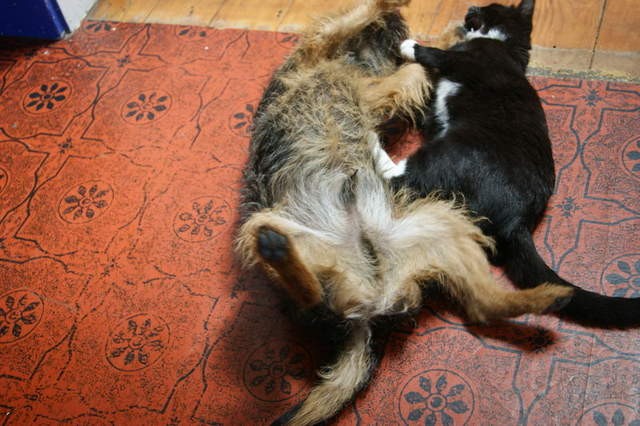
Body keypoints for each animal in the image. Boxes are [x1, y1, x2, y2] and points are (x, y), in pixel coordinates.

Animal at [377, 0, 640, 328]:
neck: (507, 46)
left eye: (489, 6)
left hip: (448, 152)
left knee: (401, 175)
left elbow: (437, 54)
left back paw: (370, 140)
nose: (471, 6)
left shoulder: (465, 59)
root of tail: (518, 219)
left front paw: (408, 45)